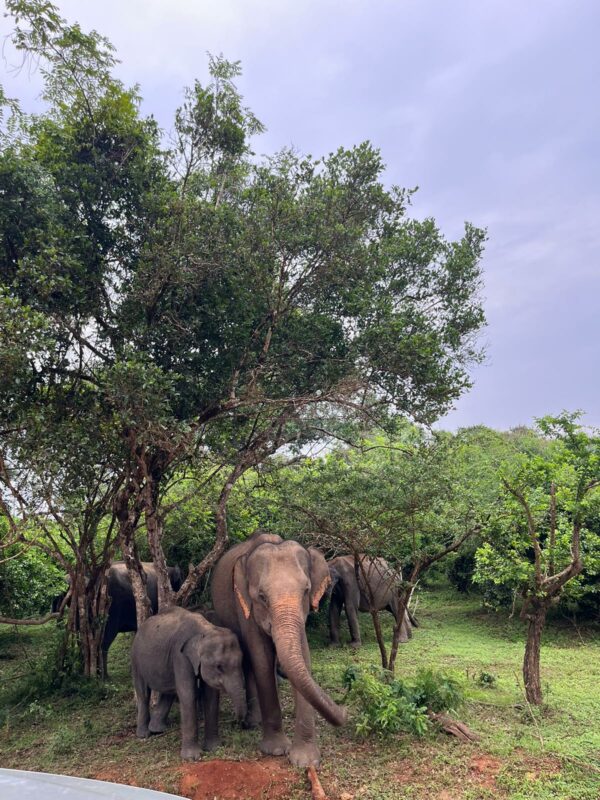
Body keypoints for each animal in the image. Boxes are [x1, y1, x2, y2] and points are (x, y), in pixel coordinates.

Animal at [132, 608, 246, 764]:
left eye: (242, 662)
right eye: (219, 666)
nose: (240, 722)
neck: (206, 629)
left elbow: (211, 696)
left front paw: (214, 748)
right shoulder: (180, 657)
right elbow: (188, 694)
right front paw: (192, 758)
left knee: (168, 692)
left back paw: (157, 730)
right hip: (136, 660)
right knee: (143, 692)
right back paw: (144, 735)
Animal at [211, 532, 346, 768]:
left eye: (306, 591)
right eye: (262, 596)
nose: (345, 713)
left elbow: (303, 656)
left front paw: (306, 761)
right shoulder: (245, 605)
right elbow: (261, 658)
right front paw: (275, 750)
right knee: (248, 661)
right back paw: (253, 722)